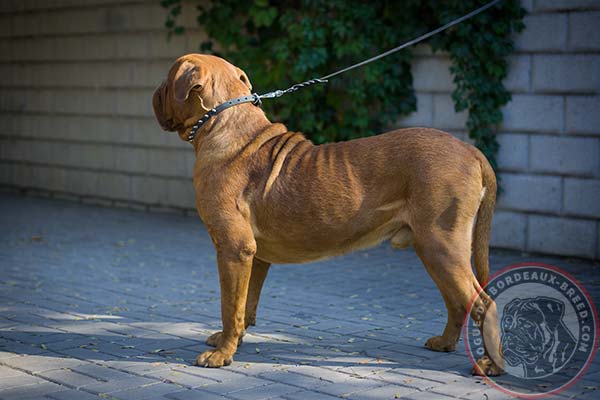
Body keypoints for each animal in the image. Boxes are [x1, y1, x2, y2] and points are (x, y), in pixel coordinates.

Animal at [152, 53, 504, 376]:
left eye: (167, 80)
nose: (154, 92)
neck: (222, 122)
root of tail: (471, 150)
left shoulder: (233, 250)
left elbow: (230, 306)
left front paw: (222, 354)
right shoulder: (254, 256)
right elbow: (246, 303)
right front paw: (232, 341)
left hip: (442, 246)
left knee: (484, 303)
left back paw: (491, 363)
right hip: (432, 249)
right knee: (457, 302)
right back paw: (445, 343)